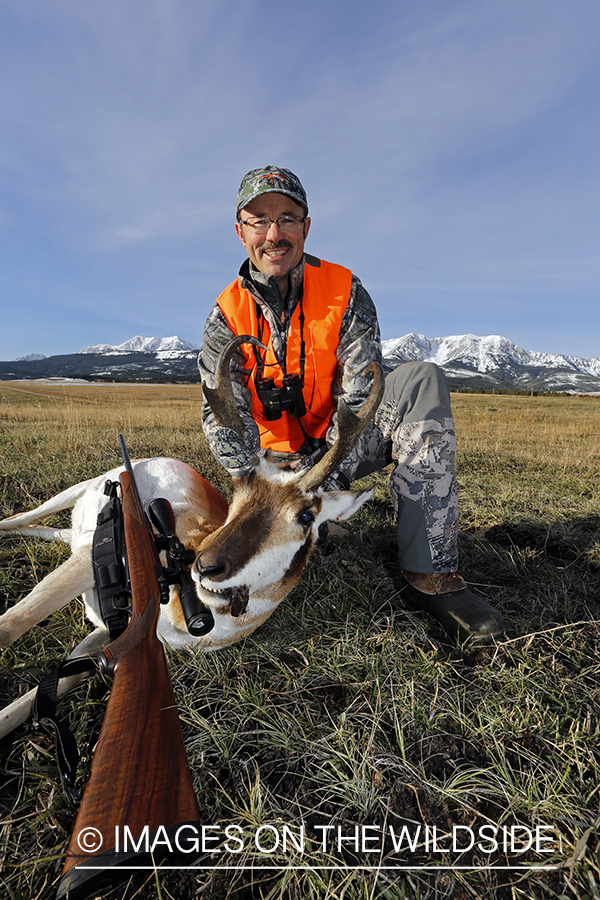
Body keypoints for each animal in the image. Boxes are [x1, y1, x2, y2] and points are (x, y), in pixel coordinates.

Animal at [0, 336, 384, 732]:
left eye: (306, 515)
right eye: (237, 489)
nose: (206, 566)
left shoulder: (107, 638)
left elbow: (35, 698)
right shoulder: (89, 564)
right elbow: (12, 624)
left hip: (74, 534)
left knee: (48, 531)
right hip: (72, 498)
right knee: (16, 519)